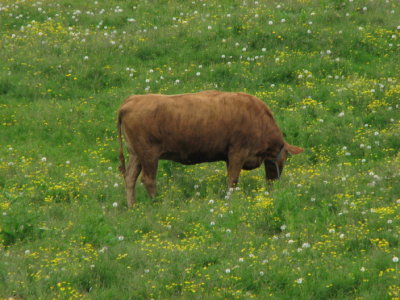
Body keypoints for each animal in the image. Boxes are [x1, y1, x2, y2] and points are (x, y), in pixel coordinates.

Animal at [118, 90, 304, 207]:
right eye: (285, 158)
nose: (274, 184)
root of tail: (131, 100)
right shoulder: (238, 152)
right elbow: (233, 180)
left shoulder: (230, 157)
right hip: (148, 155)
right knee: (148, 180)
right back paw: (157, 203)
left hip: (136, 154)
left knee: (130, 178)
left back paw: (132, 206)